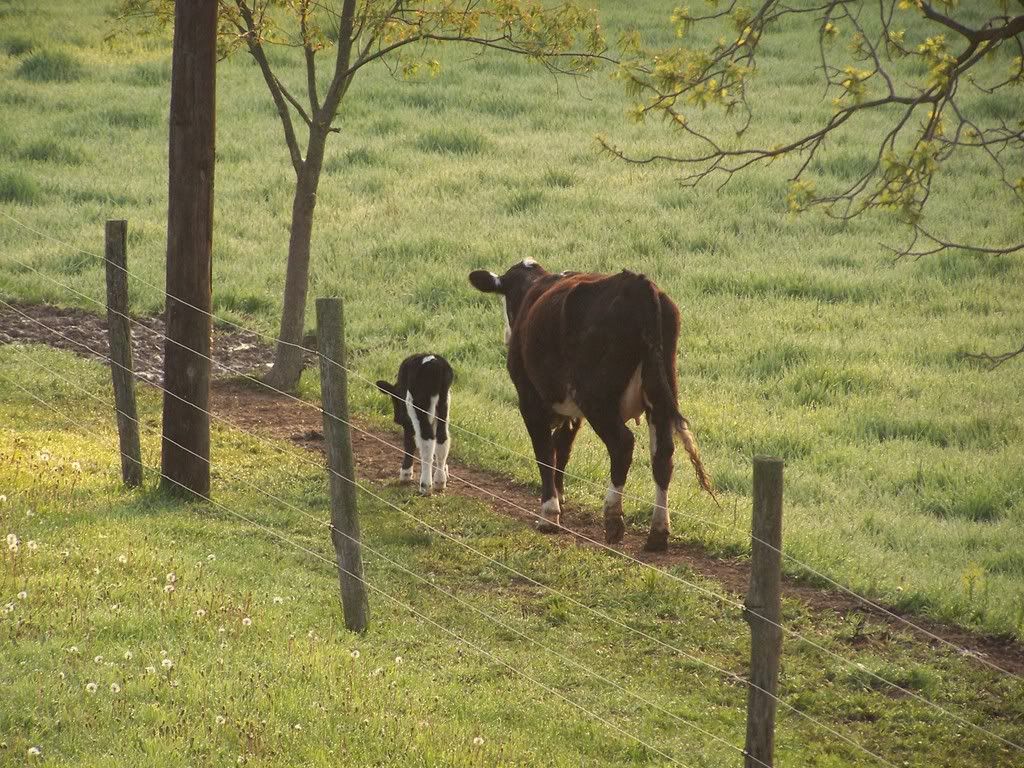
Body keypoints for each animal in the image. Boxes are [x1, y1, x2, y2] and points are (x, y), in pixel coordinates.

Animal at [376, 353, 454, 496]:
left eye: (395, 399)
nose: (396, 418)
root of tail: (433, 362)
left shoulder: (408, 420)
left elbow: (409, 442)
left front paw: (405, 474)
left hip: (418, 406)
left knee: (427, 440)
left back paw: (425, 486)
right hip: (444, 404)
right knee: (442, 440)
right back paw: (440, 481)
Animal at [468, 260, 713, 551]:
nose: (506, 335)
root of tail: (638, 284)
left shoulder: (530, 400)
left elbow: (545, 453)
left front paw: (549, 514)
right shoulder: (573, 412)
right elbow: (562, 449)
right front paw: (560, 497)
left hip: (596, 398)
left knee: (622, 444)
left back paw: (613, 518)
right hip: (660, 396)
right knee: (663, 455)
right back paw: (658, 532)